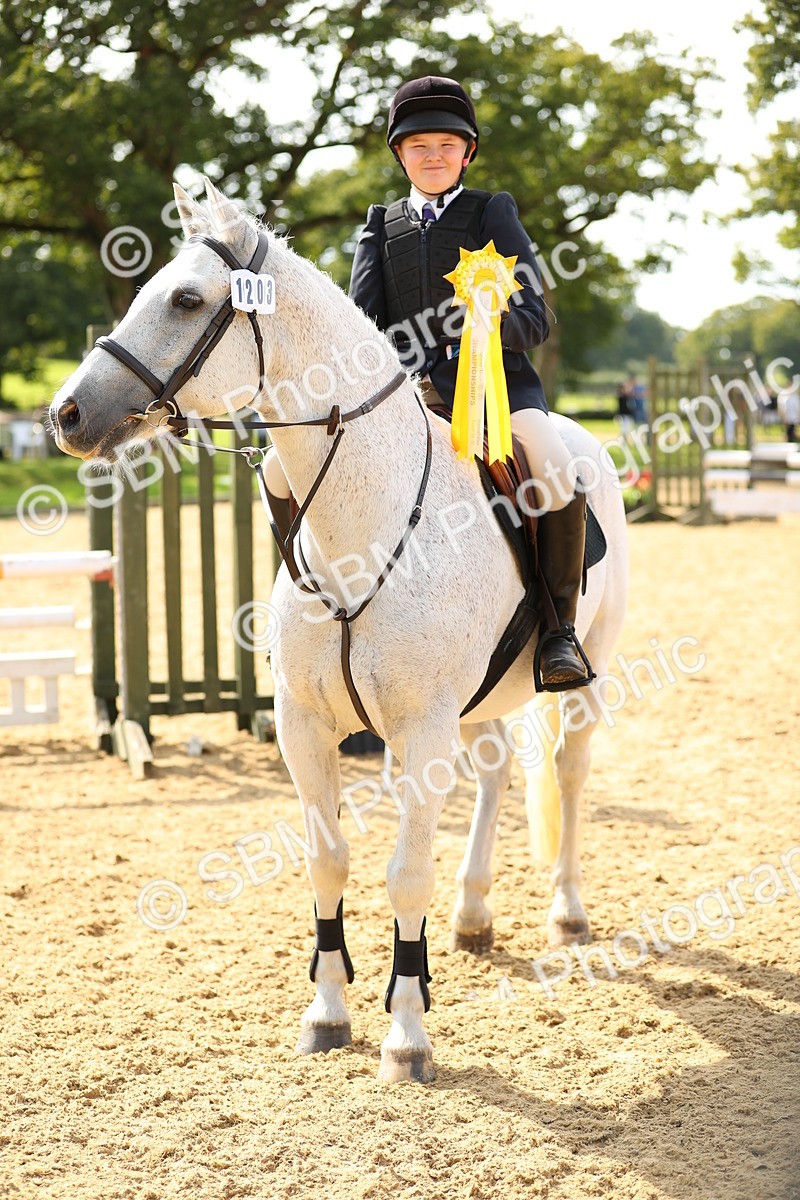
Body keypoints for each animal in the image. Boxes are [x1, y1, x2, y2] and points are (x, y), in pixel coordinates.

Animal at [51, 179, 628, 1083]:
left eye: (187, 300)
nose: (66, 414)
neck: (360, 521)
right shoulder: (305, 725)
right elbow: (328, 863)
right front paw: (327, 1014)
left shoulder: (421, 729)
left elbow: (405, 875)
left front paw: (407, 1036)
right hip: (480, 699)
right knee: (499, 772)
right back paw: (472, 915)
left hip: (584, 663)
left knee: (568, 772)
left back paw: (566, 913)